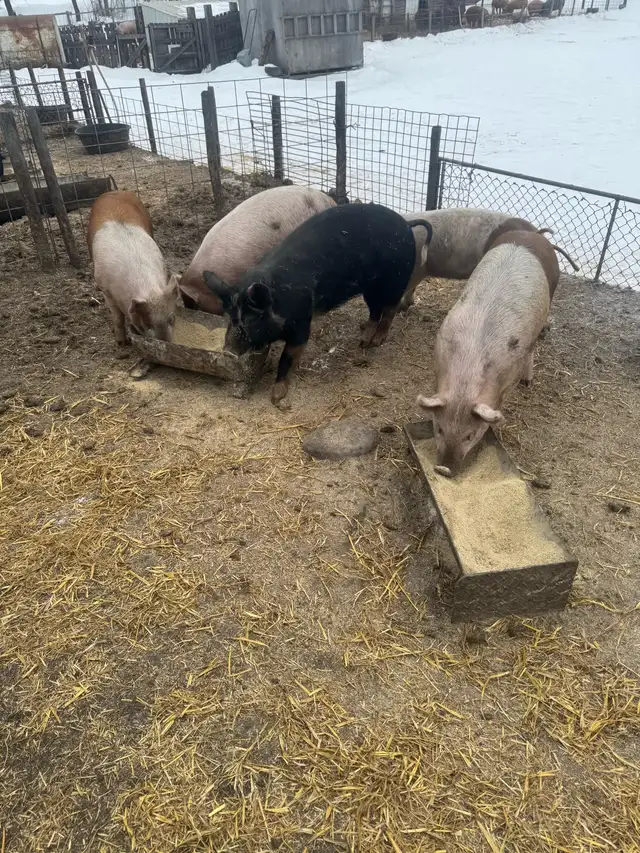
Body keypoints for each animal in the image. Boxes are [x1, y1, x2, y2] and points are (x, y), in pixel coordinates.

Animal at [88, 190, 177, 344]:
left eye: (171, 318)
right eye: (147, 324)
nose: (165, 342)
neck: (148, 289)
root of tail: (113, 191)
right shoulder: (107, 291)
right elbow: (118, 318)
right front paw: (122, 343)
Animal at [204, 203, 433, 405]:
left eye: (251, 319)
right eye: (231, 318)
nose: (228, 351)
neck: (280, 299)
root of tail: (406, 223)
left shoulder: (302, 323)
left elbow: (287, 358)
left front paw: (277, 397)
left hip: (397, 278)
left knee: (390, 309)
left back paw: (377, 341)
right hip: (369, 288)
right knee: (375, 311)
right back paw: (363, 342)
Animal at [417, 230, 560, 474]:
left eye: (470, 435)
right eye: (440, 429)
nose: (444, 469)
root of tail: (531, 234)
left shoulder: (508, 377)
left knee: (533, 348)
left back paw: (528, 382)